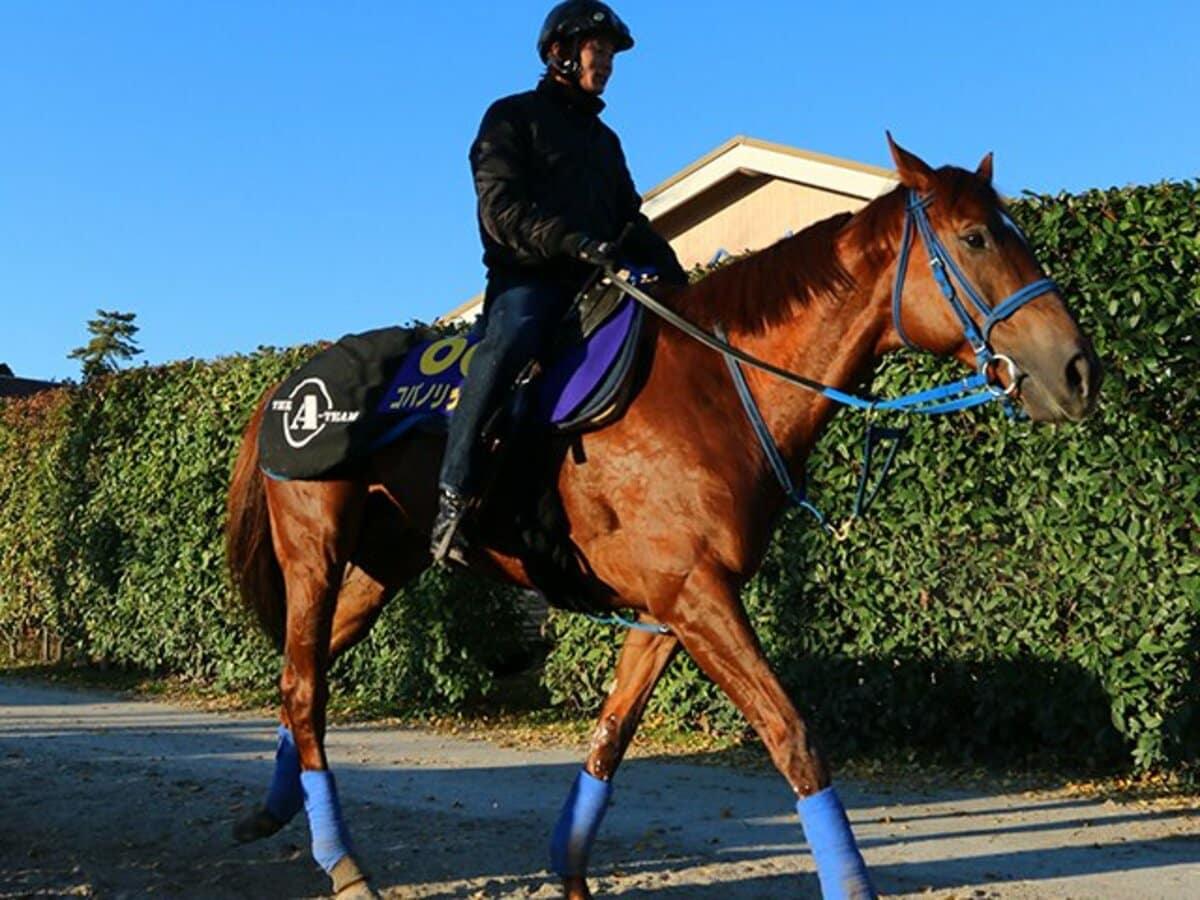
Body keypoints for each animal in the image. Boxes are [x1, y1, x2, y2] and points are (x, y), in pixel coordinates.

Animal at [225, 137, 1099, 897]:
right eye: (977, 237)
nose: (1077, 371)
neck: (713, 387)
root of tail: (284, 387)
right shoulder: (696, 596)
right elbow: (793, 737)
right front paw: (850, 884)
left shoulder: (665, 611)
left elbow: (610, 739)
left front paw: (569, 871)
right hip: (316, 553)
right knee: (302, 686)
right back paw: (344, 863)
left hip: (379, 568)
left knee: (304, 681)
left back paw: (279, 811)